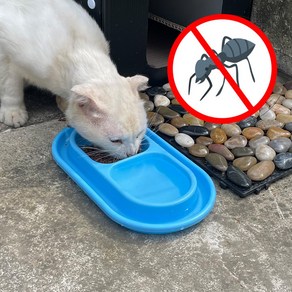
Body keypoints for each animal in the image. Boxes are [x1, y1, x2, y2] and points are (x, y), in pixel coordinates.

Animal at [0, 0, 147, 159]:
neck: (74, 49)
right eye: (115, 141)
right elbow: (10, 88)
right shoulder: (6, 56)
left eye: (139, 134)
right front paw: (13, 112)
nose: (132, 153)